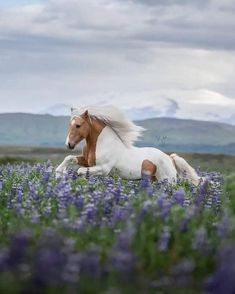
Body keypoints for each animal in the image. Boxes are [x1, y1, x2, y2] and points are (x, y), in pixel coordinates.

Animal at [55, 104, 200, 185]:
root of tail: (170, 158)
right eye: (70, 125)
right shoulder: (87, 161)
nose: (68, 144)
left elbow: (79, 171)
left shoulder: (103, 169)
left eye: (78, 125)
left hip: (167, 182)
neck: (101, 144)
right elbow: (69, 158)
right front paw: (58, 173)